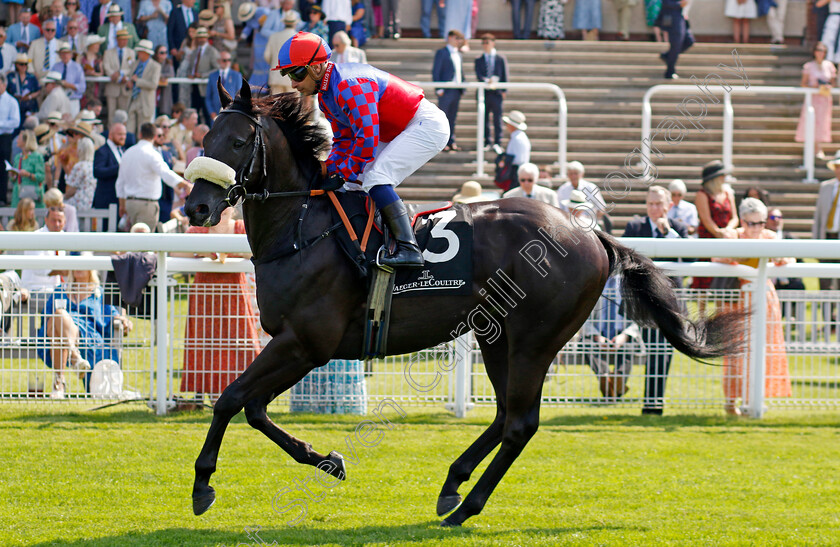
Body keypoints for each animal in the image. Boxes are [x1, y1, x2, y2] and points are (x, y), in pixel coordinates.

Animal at [187, 81, 744, 528]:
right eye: (206, 139)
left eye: (238, 141)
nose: (196, 206)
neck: (304, 229)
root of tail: (589, 233)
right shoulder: (293, 344)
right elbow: (252, 406)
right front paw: (327, 458)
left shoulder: (306, 343)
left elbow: (232, 399)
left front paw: (202, 485)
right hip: (496, 334)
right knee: (505, 413)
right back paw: (452, 483)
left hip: (534, 339)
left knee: (520, 423)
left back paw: (466, 507)